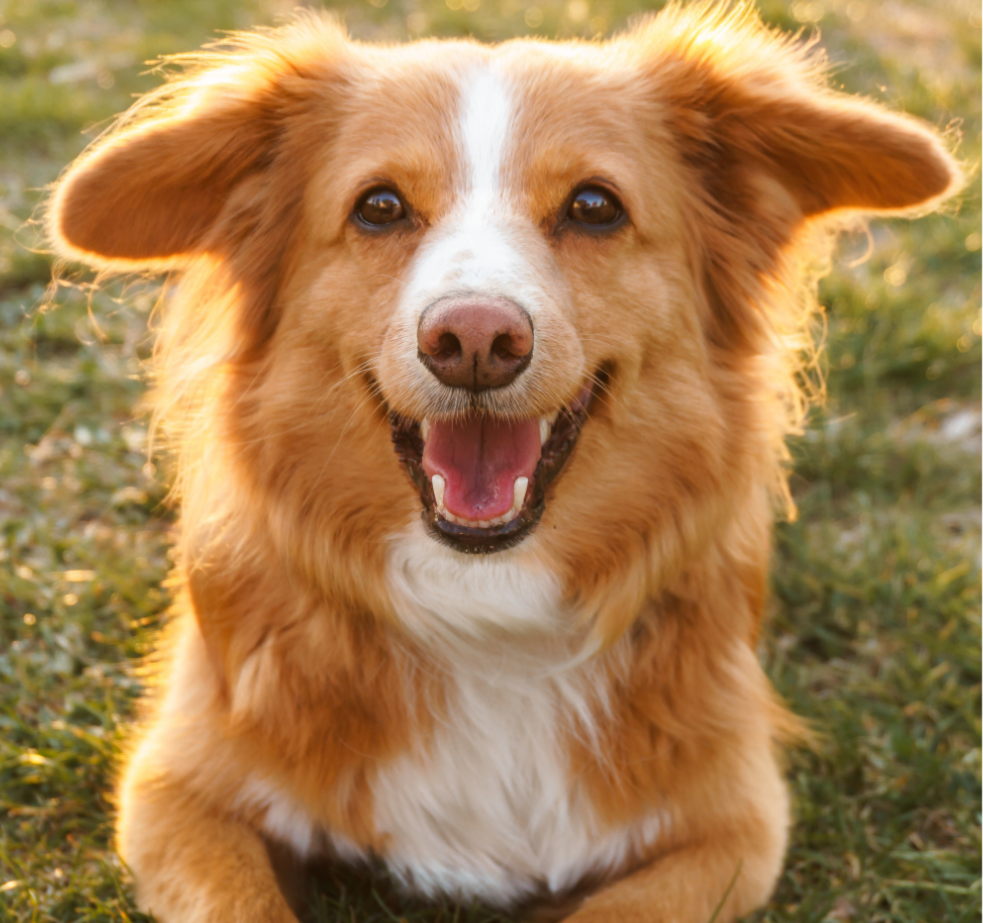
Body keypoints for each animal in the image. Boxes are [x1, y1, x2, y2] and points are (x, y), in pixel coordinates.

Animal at [48, 3, 960, 920]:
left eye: (593, 206)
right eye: (379, 207)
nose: (475, 339)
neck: (485, 604)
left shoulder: (734, 826)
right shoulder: (176, 791)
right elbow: (243, 900)